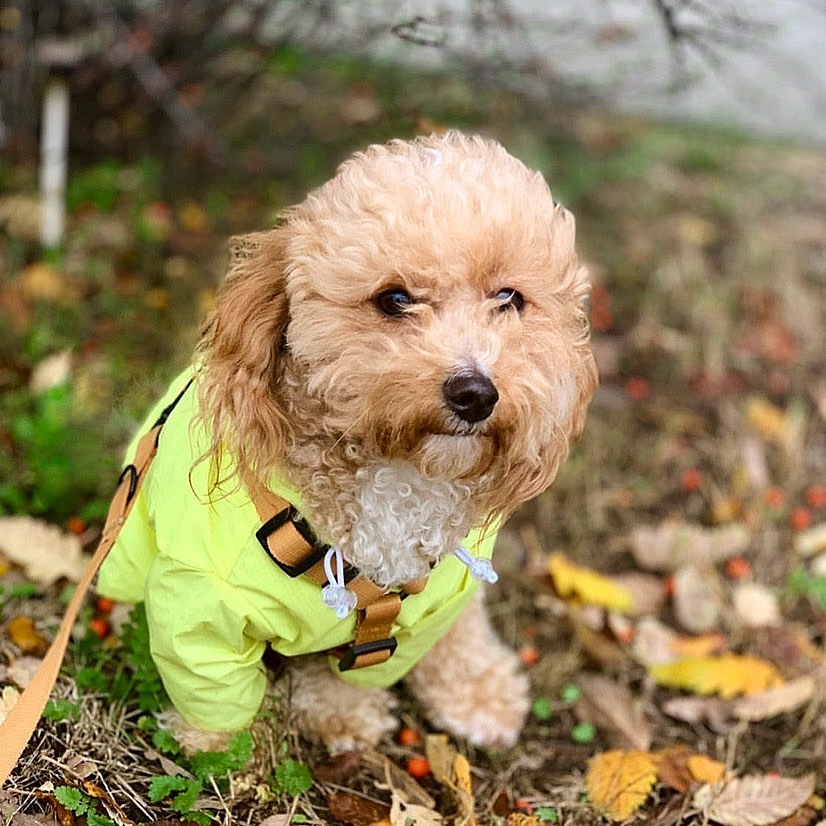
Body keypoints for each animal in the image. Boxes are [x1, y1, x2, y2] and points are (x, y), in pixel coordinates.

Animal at [96, 134, 596, 752]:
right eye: (394, 299)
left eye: (509, 297)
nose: (476, 394)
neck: (396, 480)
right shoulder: (199, 605)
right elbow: (212, 691)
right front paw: (216, 748)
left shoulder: (417, 613)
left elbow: (358, 667)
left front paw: (341, 714)